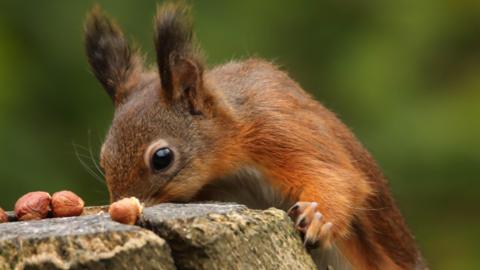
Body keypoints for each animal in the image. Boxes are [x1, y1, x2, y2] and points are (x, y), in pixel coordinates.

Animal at [85, 4, 424, 270]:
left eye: (162, 158)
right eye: (104, 158)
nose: (119, 204)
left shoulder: (279, 127)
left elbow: (337, 177)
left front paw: (317, 217)